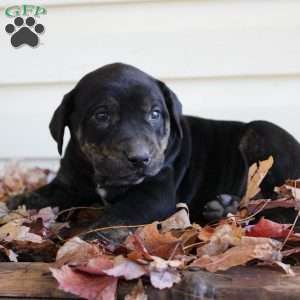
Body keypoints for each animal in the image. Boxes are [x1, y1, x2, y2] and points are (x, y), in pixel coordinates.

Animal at [6, 62, 300, 237]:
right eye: (101, 116)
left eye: (155, 114)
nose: (140, 159)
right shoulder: (67, 184)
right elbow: (34, 197)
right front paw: (11, 206)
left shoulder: (154, 193)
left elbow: (116, 217)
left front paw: (82, 241)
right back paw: (223, 207)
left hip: (261, 134)